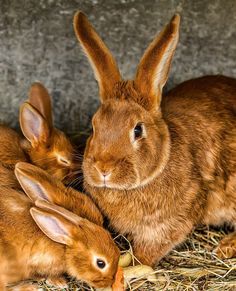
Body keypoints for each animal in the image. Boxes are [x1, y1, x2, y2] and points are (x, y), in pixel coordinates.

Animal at [74, 11, 236, 266]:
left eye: (138, 130)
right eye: (93, 126)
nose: (103, 169)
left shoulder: (171, 224)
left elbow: (147, 253)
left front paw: (134, 265)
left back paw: (225, 247)